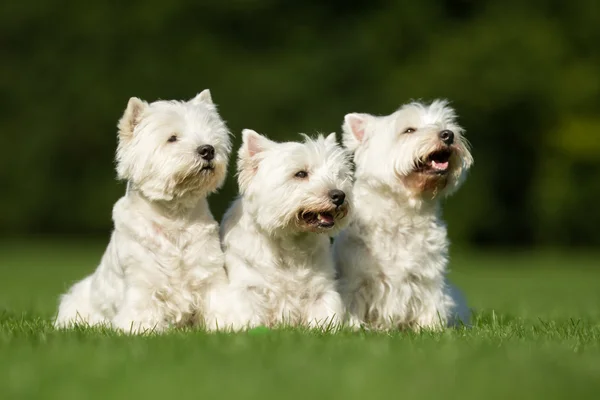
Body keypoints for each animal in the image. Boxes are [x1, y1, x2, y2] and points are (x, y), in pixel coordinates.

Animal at [52, 90, 231, 332]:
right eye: (172, 138)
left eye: (211, 136)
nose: (208, 150)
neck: (174, 217)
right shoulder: (142, 282)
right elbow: (142, 316)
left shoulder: (209, 274)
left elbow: (220, 307)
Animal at [205, 130, 352, 330]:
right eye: (300, 174)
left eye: (339, 174)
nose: (339, 195)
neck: (289, 243)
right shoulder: (247, 289)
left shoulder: (322, 291)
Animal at [332, 100, 474, 332]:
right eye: (409, 130)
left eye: (446, 124)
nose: (448, 135)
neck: (402, 214)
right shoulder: (355, 279)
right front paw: (355, 328)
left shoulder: (428, 278)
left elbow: (431, 303)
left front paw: (431, 329)